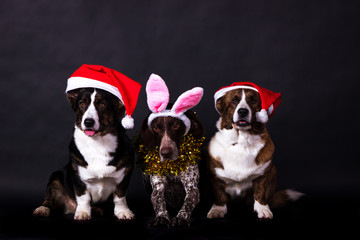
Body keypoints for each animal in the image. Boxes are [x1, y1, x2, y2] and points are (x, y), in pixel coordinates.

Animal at [33, 64, 141, 221]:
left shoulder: (124, 177)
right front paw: (83, 213)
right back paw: (43, 209)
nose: (88, 122)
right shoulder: (78, 179)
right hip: (55, 178)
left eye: (102, 104)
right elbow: (83, 197)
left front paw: (123, 212)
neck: (98, 142)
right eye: (82, 103)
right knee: (49, 200)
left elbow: (120, 197)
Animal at [135, 73, 204, 227]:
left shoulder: (192, 186)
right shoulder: (158, 185)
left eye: (176, 125)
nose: (166, 153)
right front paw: (161, 217)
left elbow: (188, 202)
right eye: (156, 127)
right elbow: (159, 201)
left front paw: (181, 218)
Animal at [207, 82, 302, 219]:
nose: (242, 111)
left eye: (253, 100)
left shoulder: (263, 175)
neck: (241, 141)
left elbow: (260, 193)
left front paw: (263, 209)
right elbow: (219, 195)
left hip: (273, 170)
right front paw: (217, 210)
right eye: (234, 100)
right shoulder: (216, 177)